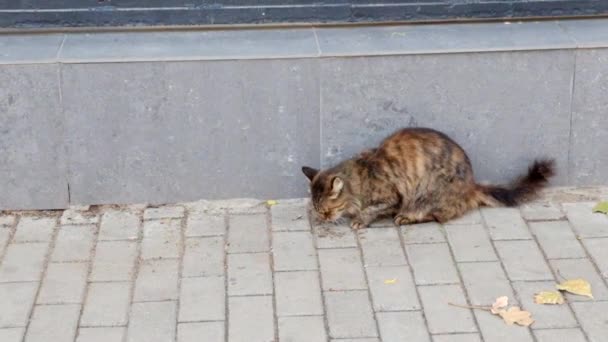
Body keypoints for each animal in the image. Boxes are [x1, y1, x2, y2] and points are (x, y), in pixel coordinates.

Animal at [302, 127, 552, 228]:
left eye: (327, 211)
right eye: (318, 210)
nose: (322, 219)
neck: (359, 177)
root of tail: (471, 184)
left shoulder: (392, 196)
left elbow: (371, 209)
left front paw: (360, 219)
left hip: (427, 195)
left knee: (438, 216)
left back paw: (405, 218)